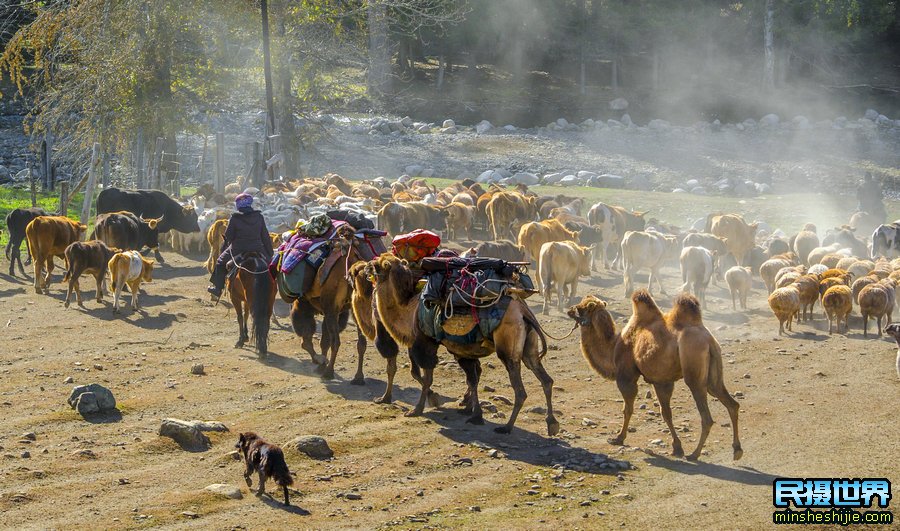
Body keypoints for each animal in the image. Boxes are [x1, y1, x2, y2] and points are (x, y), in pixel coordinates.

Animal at [364, 255, 560, 436]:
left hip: (508, 348)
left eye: (377, 265)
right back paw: (551, 424)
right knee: (546, 379)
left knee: (520, 390)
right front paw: (472, 413)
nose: (366, 267)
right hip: (529, 348)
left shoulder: (425, 342)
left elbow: (427, 377)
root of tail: (523, 311)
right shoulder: (461, 349)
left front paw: (417, 409)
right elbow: (472, 379)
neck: (408, 311)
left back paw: (506, 427)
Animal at [568, 290, 740, 462]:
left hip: (694, 370)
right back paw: (737, 450)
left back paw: (694, 454)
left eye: (580, 308)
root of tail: (708, 341)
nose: (569, 310)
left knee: (706, 416)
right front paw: (676, 447)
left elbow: (628, 409)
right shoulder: (662, 381)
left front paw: (618, 438)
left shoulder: (627, 376)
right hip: (714, 373)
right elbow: (666, 414)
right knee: (731, 403)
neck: (613, 346)